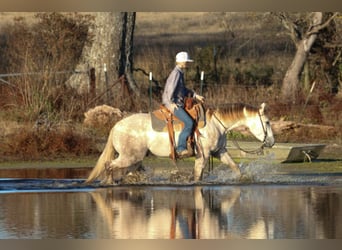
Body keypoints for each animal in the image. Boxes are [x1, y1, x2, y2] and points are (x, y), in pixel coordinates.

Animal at [85, 102, 276, 185]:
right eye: (267, 122)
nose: (272, 142)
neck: (215, 123)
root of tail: (116, 127)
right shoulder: (203, 156)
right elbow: (198, 176)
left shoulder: (220, 152)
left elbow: (235, 167)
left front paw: (244, 179)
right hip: (129, 157)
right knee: (109, 165)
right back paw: (109, 183)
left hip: (135, 160)